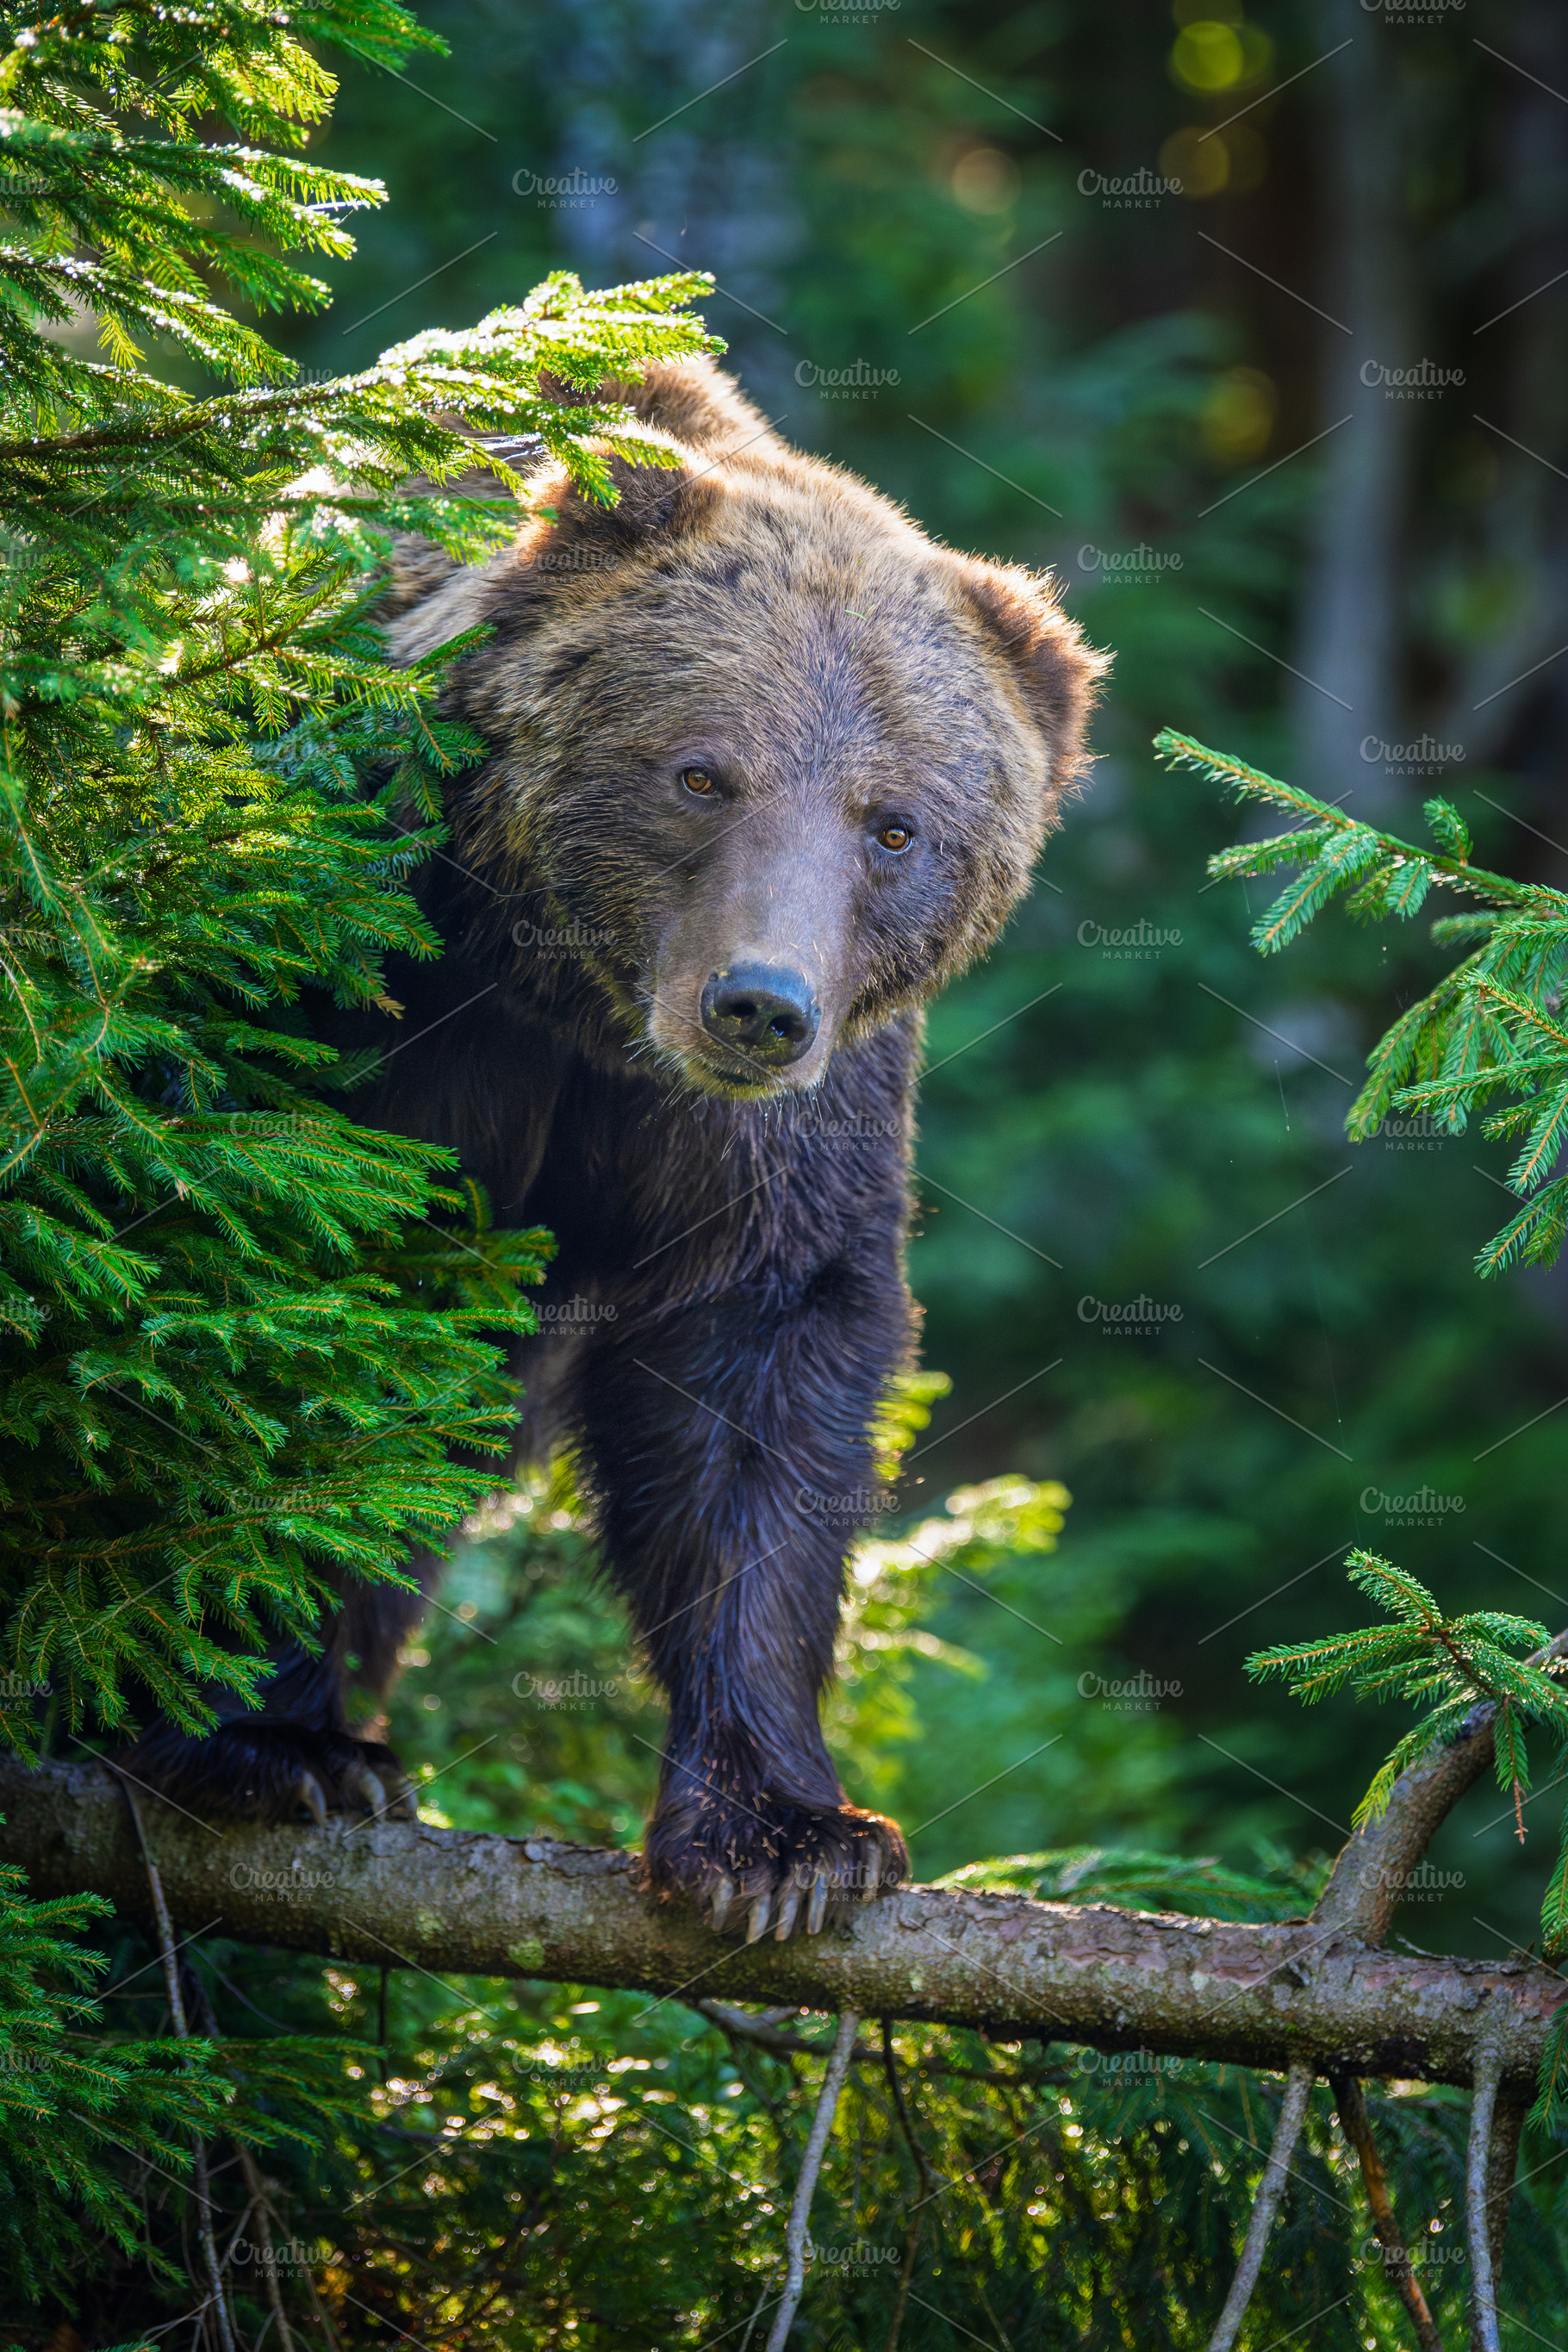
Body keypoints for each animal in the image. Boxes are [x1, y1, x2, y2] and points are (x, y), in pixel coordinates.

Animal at [122, 359, 1108, 1943]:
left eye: (895, 825)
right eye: (703, 772)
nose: (758, 1004)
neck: (559, 991)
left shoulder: (764, 1140)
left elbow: (751, 1386)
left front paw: (786, 1836)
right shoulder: (335, 973)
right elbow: (252, 1316)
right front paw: (257, 1740)